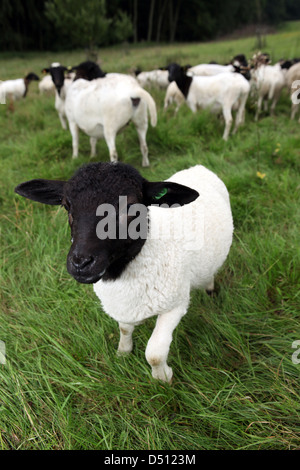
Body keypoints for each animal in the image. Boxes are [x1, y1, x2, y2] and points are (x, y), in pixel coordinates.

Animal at [14, 162, 234, 382]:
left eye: (130, 207)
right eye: (66, 206)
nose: (81, 263)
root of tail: (197, 167)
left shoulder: (175, 304)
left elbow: (154, 353)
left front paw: (163, 378)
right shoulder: (122, 305)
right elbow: (124, 328)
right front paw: (123, 352)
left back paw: (210, 290)